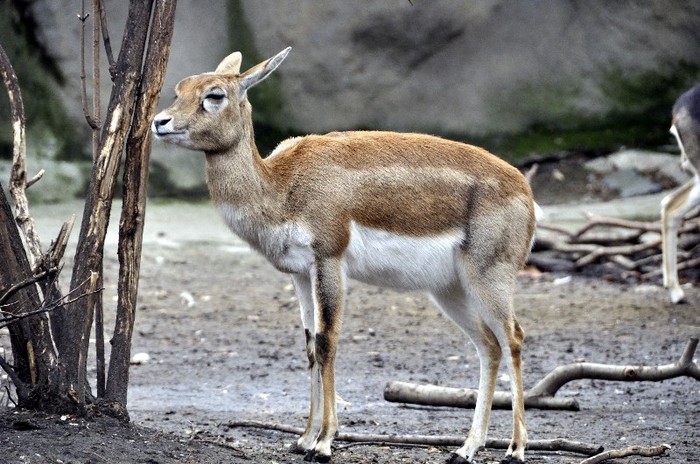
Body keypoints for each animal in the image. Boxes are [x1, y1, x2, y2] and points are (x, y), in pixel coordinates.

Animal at [153, 48, 536, 464]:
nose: (160, 121)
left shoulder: (329, 260)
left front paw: (323, 443)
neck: (282, 186)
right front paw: (303, 438)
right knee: (489, 345)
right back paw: (465, 449)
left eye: (215, 94)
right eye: (179, 89)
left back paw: (515, 449)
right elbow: (309, 346)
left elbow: (327, 340)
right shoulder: (300, 272)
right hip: (449, 290)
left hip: (489, 275)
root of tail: (524, 188)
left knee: (514, 337)